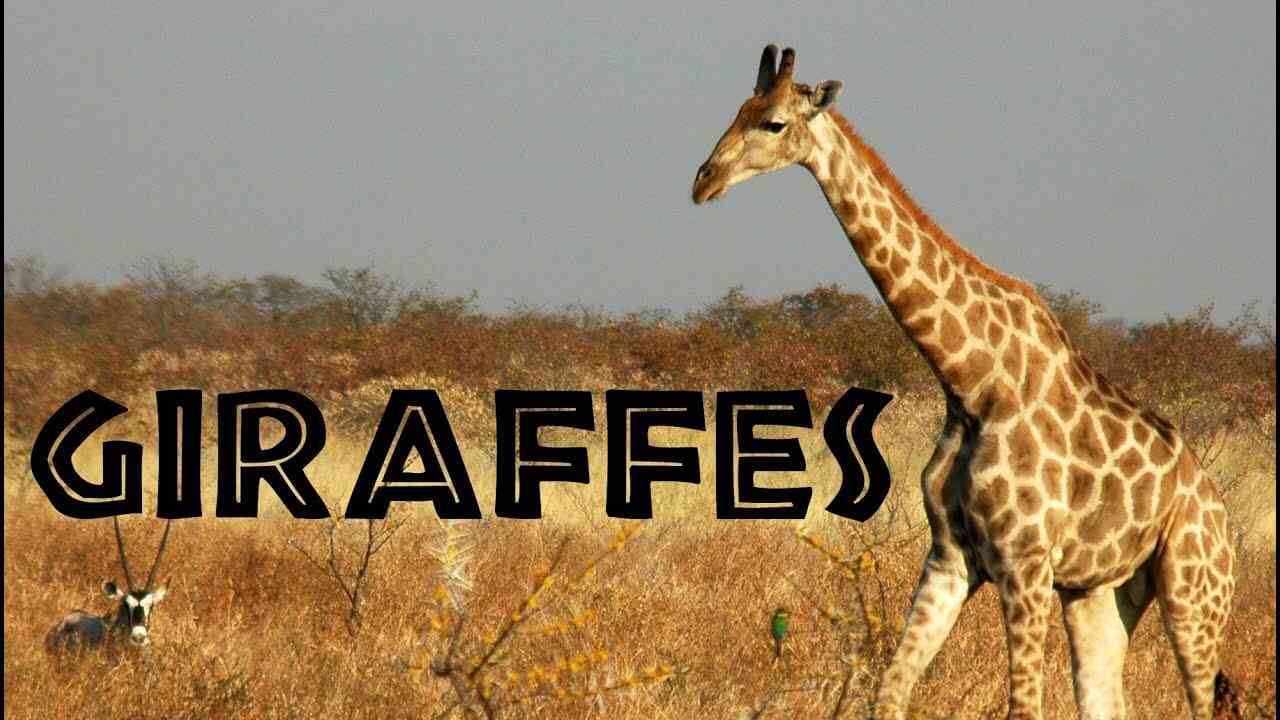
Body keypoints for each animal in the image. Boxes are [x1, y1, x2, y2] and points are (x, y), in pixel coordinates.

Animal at [691, 45, 1239, 720]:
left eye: (774, 124)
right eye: (738, 110)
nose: (703, 181)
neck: (970, 382)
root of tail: (1218, 510)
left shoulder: (1025, 563)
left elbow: (1022, 707)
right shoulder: (951, 557)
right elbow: (889, 692)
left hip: (1194, 588)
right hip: (1104, 590)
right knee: (1106, 698)